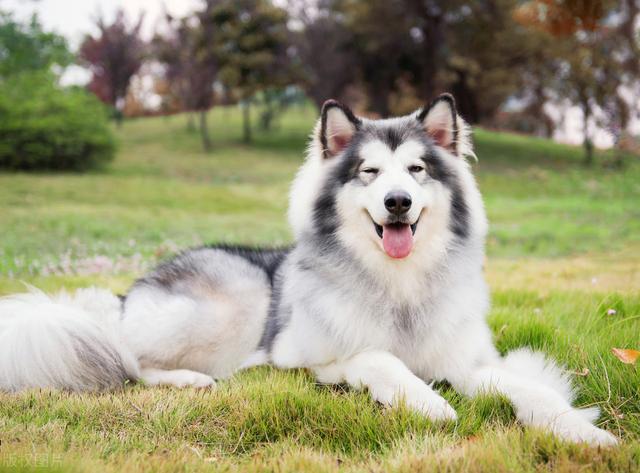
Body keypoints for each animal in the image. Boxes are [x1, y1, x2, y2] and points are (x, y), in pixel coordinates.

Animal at [0, 93, 620, 446]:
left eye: (417, 170)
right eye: (369, 171)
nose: (398, 201)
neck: (399, 287)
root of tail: (124, 298)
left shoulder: (467, 360)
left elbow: (526, 389)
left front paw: (582, 431)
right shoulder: (312, 356)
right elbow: (381, 359)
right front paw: (428, 401)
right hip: (234, 302)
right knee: (126, 359)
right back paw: (190, 378)